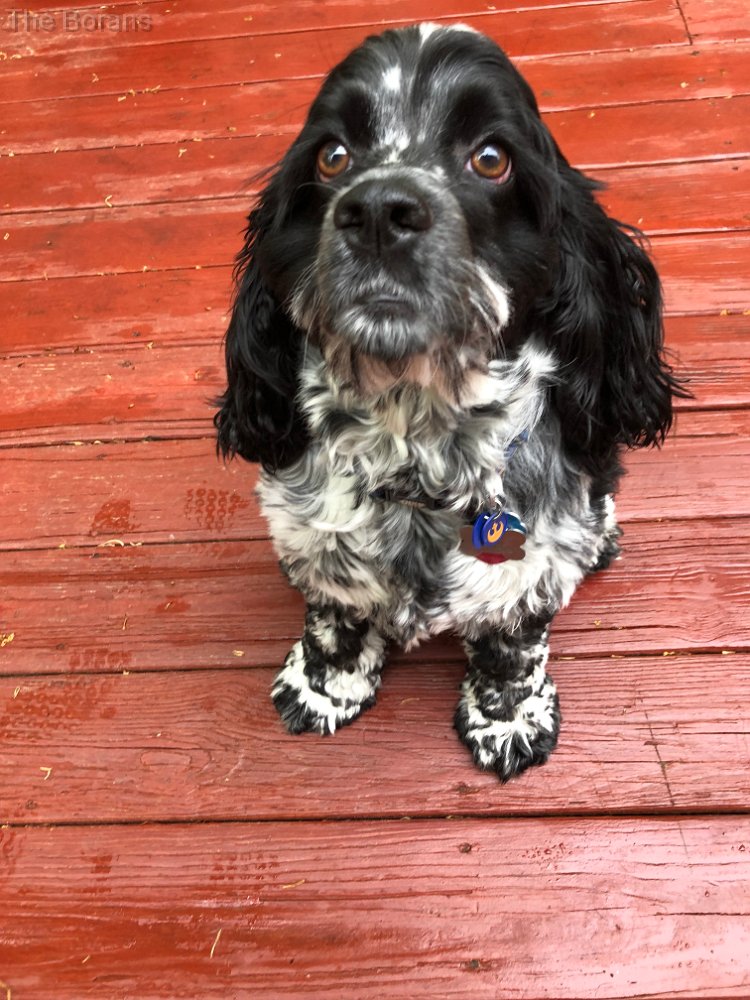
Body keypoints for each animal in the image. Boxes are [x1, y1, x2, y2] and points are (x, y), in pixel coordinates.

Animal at [215, 22, 683, 781]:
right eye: (332, 155)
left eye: (491, 158)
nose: (379, 211)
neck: (415, 443)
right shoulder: (313, 539)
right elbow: (335, 618)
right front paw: (322, 690)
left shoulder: (533, 563)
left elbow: (512, 646)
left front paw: (508, 722)